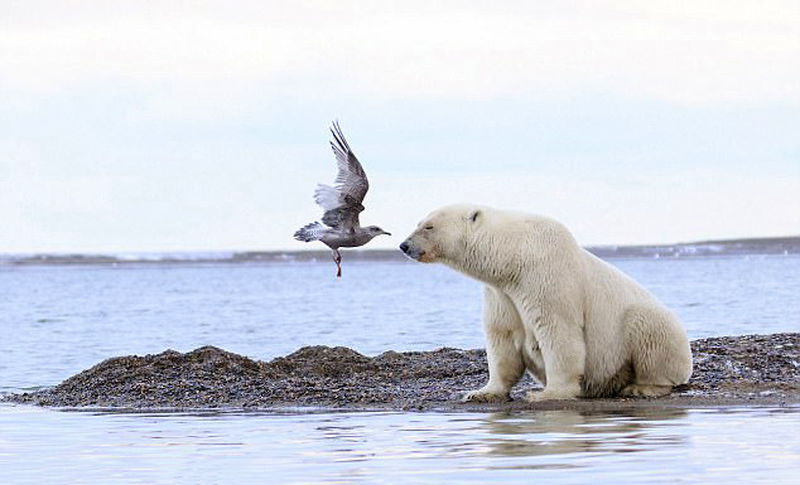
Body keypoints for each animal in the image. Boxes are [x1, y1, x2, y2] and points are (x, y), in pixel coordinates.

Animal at [400, 204, 692, 400]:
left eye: (428, 226)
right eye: (419, 222)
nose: (404, 245)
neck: (514, 258)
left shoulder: (547, 276)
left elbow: (558, 332)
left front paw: (547, 394)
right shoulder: (501, 293)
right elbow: (502, 338)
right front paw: (480, 392)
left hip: (651, 327)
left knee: (647, 331)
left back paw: (641, 387)